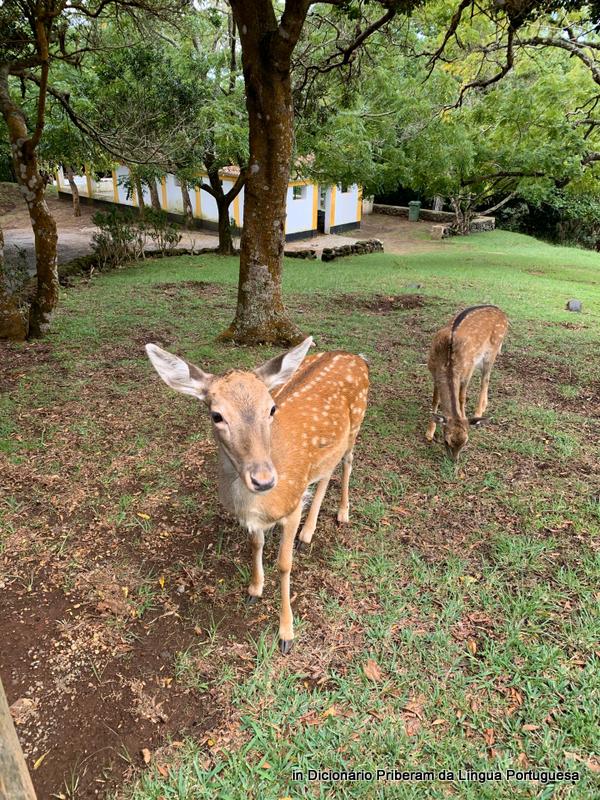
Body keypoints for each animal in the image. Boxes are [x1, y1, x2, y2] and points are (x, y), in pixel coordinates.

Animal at [146, 334, 370, 652]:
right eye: (216, 415)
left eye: (271, 408)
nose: (263, 480)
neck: (258, 505)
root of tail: (357, 357)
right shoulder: (252, 519)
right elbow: (256, 545)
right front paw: (254, 589)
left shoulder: (292, 505)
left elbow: (284, 565)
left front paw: (286, 633)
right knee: (327, 471)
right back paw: (308, 533)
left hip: (357, 423)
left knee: (349, 461)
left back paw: (342, 514)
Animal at [426, 304, 506, 460]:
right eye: (446, 440)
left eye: (465, 442)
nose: (454, 461)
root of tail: (502, 312)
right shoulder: (433, 371)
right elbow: (435, 400)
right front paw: (429, 433)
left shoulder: (467, 372)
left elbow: (461, 397)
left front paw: (463, 415)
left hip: (492, 352)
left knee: (485, 379)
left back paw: (478, 411)